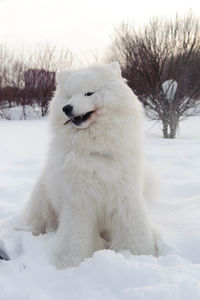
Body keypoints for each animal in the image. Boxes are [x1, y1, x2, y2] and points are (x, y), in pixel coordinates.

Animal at [23, 62, 156, 268]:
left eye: (88, 93)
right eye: (69, 96)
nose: (67, 108)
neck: (95, 149)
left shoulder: (125, 196)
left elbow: (134, 228)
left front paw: (142, 255)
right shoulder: (79, 201)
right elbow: (76, 236)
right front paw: (72, 262)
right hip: (43, 203)